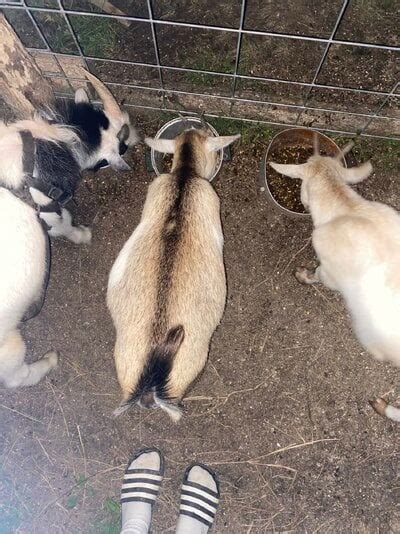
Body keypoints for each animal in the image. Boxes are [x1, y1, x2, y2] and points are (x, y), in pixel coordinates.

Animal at [268, 142, 400, 422]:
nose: (303, 202)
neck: (346, 209)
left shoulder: (329, 271)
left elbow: (318, 276)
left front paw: (303, 276)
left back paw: (384, 407)